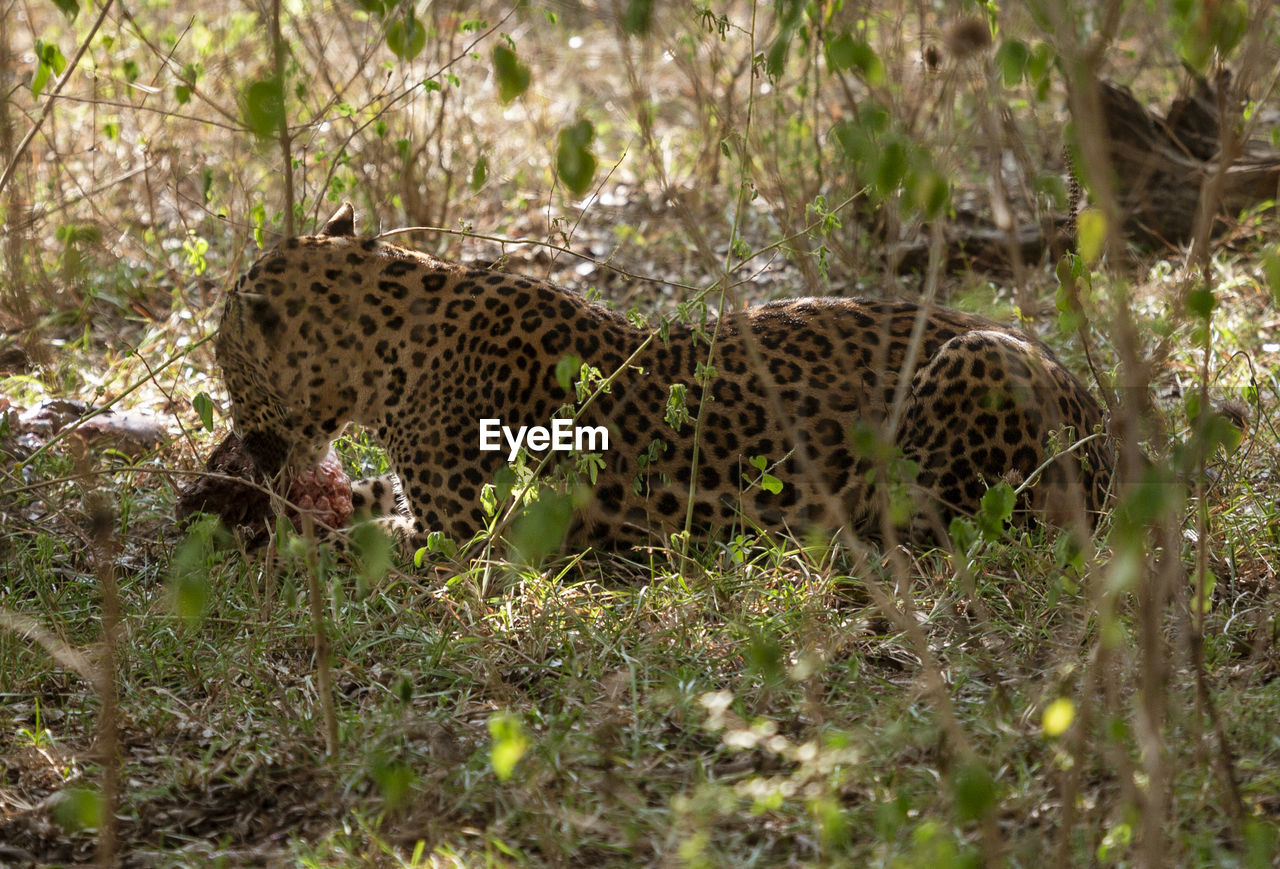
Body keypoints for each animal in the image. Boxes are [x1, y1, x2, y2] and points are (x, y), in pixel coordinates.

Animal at [215, 203, 1116, 550]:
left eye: (224, 362)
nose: (238, 437)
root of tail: (1107, 427)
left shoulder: (472, 534)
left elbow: (346, 543)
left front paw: (263, 539)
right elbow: (367, 504)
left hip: (983, 359)